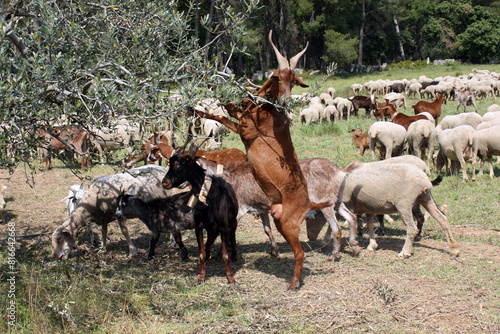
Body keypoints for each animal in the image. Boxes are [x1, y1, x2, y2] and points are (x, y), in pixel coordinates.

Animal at [160, 145, 238, 286]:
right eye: (170, 163)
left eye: (179, 165)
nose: (164, 182)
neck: (208, 197)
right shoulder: (199, 226)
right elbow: (201, 253)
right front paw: (201, 276)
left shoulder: (224, 227)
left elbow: (225, 255)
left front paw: (230, 278)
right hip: (211, 226)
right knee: (210, 238)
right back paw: (208, 254)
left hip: (233, 221)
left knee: (233, 235)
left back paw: (234, 255)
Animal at [193, 32, 334, 292]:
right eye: (277, 76)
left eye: (294, 80)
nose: (285, 102)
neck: (269, 111)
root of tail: (308, 202)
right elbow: (226, 103)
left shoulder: (243, 128)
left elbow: (221, 114)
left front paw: (196, 108)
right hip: (279, 219)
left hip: (287, 224)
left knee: (300, 253)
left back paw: (293, 284)